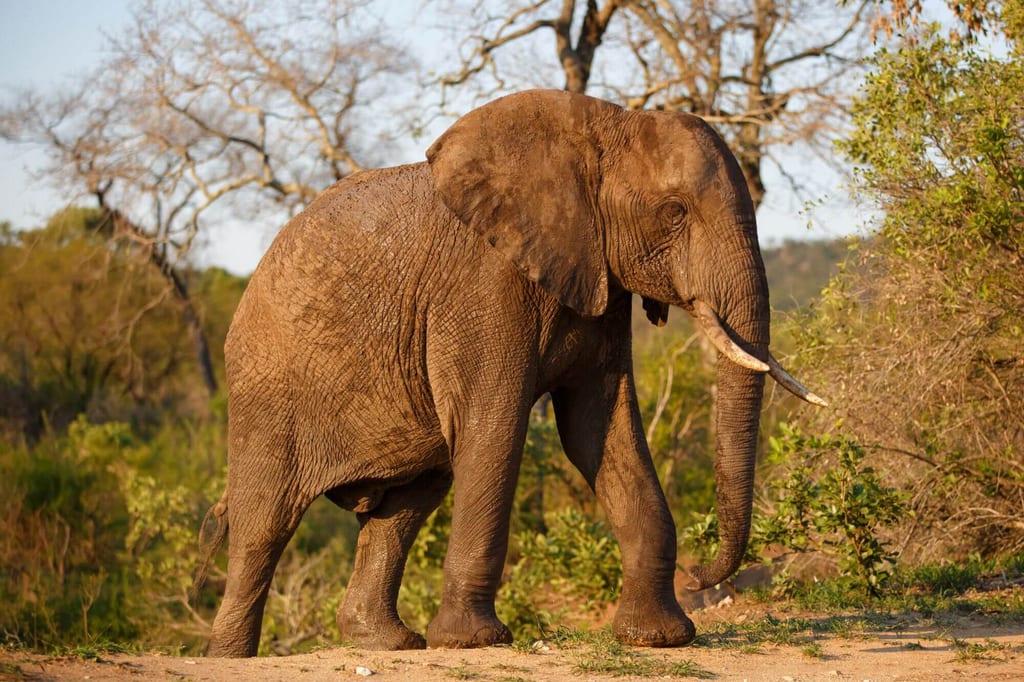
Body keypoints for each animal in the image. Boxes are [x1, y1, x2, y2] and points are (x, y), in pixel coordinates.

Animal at [198, 89, 825, 657]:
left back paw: (387, 642)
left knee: (404, 505)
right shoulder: (483, 285)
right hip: (266, 387)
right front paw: (474, 642)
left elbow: (599, 430)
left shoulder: (599, 279)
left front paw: (659, 638)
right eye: (674, 213)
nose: (700, 577)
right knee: (263, 525)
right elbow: (494, 427)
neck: (602, 126)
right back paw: (229, 656)